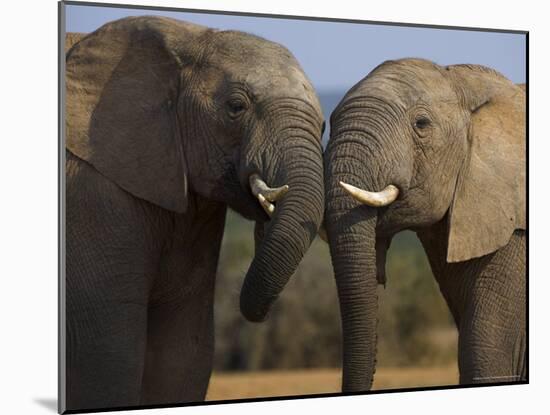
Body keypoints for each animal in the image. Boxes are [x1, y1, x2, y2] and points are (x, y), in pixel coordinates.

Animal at [64, 16, 326, 412]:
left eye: (324, 125)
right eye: (236, 106)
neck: (187, 37)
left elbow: (184, 350)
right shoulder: (92, 192)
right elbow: (109, 351)